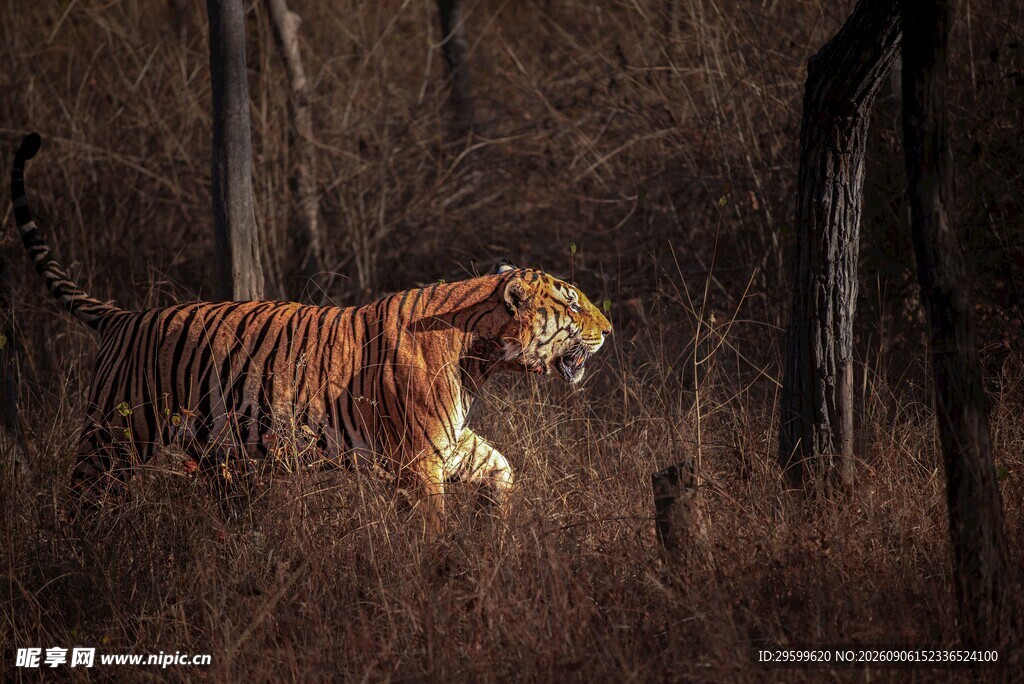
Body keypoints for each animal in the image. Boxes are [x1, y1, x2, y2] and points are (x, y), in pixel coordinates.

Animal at [11, 132, 612, 528]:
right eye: (571, 302)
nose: (609, 328)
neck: (480, 357)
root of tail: (124, 317)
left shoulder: (451, 443)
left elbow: (502, 468)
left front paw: (497, 530)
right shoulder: (418, 460)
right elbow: (431, 529)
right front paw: (442, 575)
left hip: (216, 455)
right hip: (112, 439)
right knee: (79, 502)